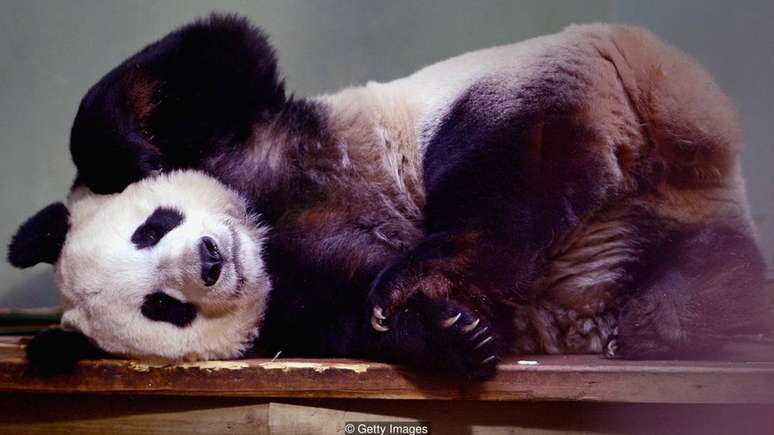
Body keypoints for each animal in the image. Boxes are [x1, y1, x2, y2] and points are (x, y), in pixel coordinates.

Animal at [9, 14, 771, 379]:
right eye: (162, 307)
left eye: (150, 227)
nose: (210, 260)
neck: (262, 223)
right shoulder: (291, 299)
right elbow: (351, 313)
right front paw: (454, 336)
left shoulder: (257, 130)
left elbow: (218, 52)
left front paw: (136, 157)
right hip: (665, 203)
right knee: (712, 263)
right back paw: (672, 312)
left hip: (550, 80)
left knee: (496, 169)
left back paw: (428, 268)